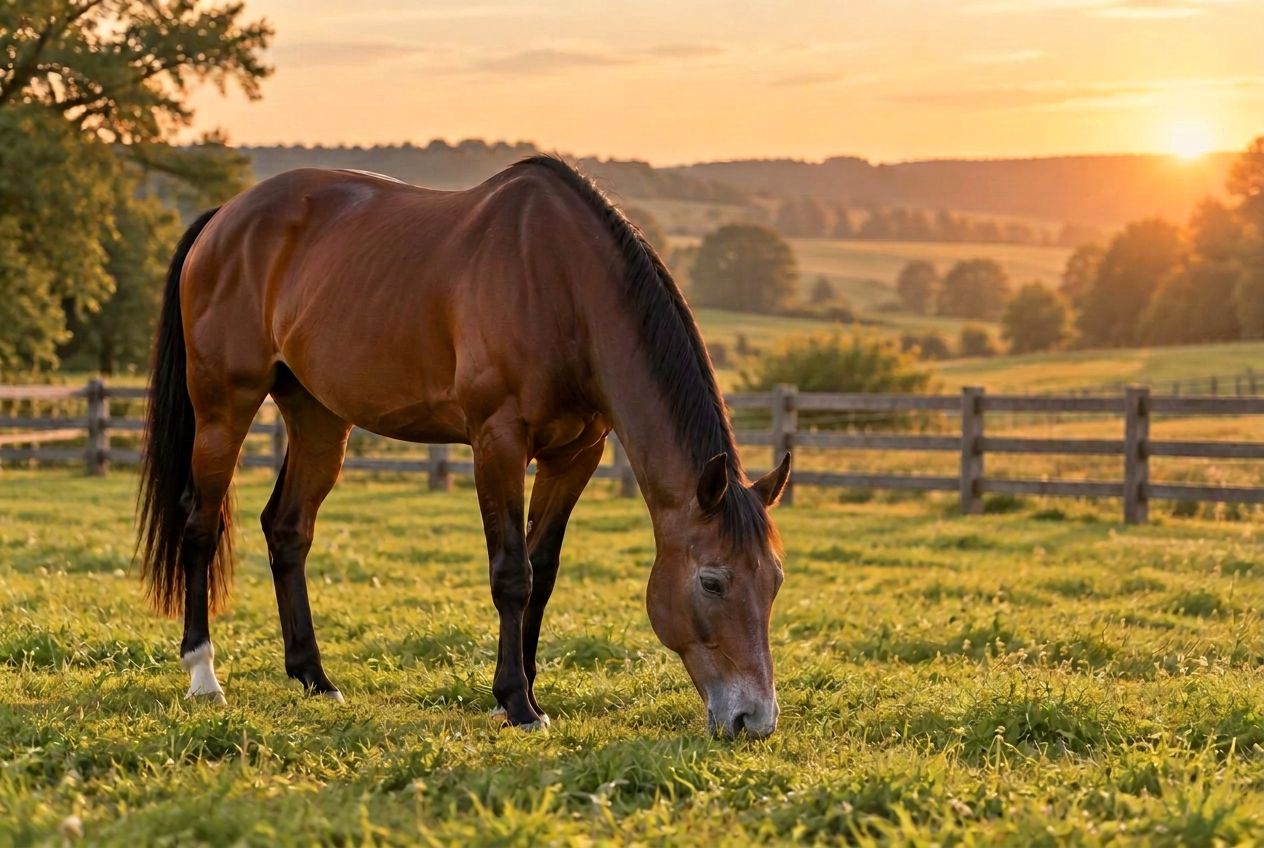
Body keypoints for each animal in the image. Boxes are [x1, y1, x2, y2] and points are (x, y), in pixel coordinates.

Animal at [136, 156, 791, 737]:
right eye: (712, 581)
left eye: (775, 581)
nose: (753, 721)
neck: (561, 283)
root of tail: (226, 218)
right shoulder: (496, 442)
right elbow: (511, 573)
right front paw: (517, 703)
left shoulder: (575, 455)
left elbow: (542, 572)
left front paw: (526, 690)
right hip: (224, 407)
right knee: (200, 528)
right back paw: (204, 675)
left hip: (318, 418)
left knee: (287, 529)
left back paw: (313, 678)